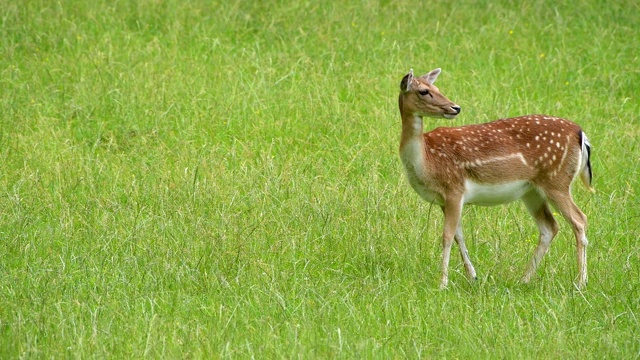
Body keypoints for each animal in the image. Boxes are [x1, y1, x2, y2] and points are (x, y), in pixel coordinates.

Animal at [400, 68, 596, 290]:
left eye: (436, 88)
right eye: (424, 91)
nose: (455, 107)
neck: (426, 161)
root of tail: (581, 134)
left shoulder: (454, 189)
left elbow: (447, 236)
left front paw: (442, 284)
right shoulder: (445, 199)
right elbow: (459, 235)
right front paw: (473, 276)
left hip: (557, 181)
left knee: (579, 220)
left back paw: (580, 282)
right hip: (532, 191)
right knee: (550, 227)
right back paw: (524, 279)